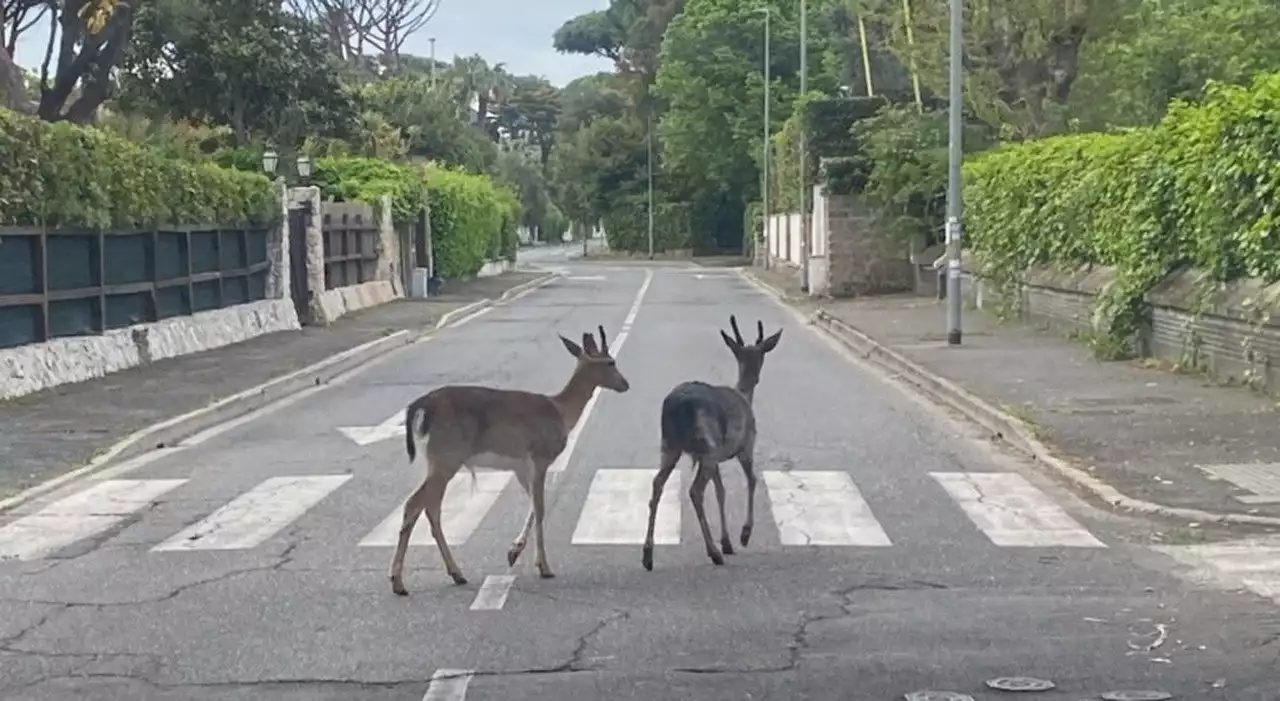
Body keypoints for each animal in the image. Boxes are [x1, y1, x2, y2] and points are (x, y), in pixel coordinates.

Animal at [389, 326, 629, 593]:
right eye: (610, 362)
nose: (625, 384)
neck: (562, 412)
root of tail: (422, 406)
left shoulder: (521, 466)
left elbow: (533, 505)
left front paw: (514, 551)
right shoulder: (540, 456)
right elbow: (541, 508)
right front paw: (544, 566)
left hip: (439, 459)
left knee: (430, 508)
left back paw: (455, 573)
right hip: (446, 455)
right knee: (415, 504)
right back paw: (399, 581)